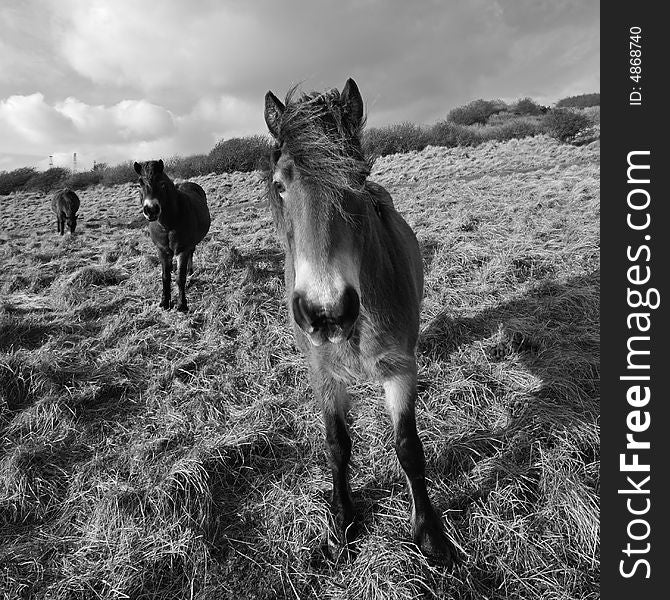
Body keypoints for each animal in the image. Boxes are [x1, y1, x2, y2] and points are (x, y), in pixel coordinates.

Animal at [135, 159, 211, 314]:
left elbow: (180, 278)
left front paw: (182, 305)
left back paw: (190, 272)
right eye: (139, 185)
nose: (151, 210)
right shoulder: (162, 251)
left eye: (162, 183)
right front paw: (164, 302)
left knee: (191, 254)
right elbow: (165, 277)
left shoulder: (182, 250)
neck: (168, 224)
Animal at [266, 78, 460, 564]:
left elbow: (408, 448)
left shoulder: (400, 370)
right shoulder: (323, 375)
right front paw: (342, 519)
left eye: (356, 177)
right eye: (280, 184)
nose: (326, 311)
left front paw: (429, 533)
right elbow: (337, 446)